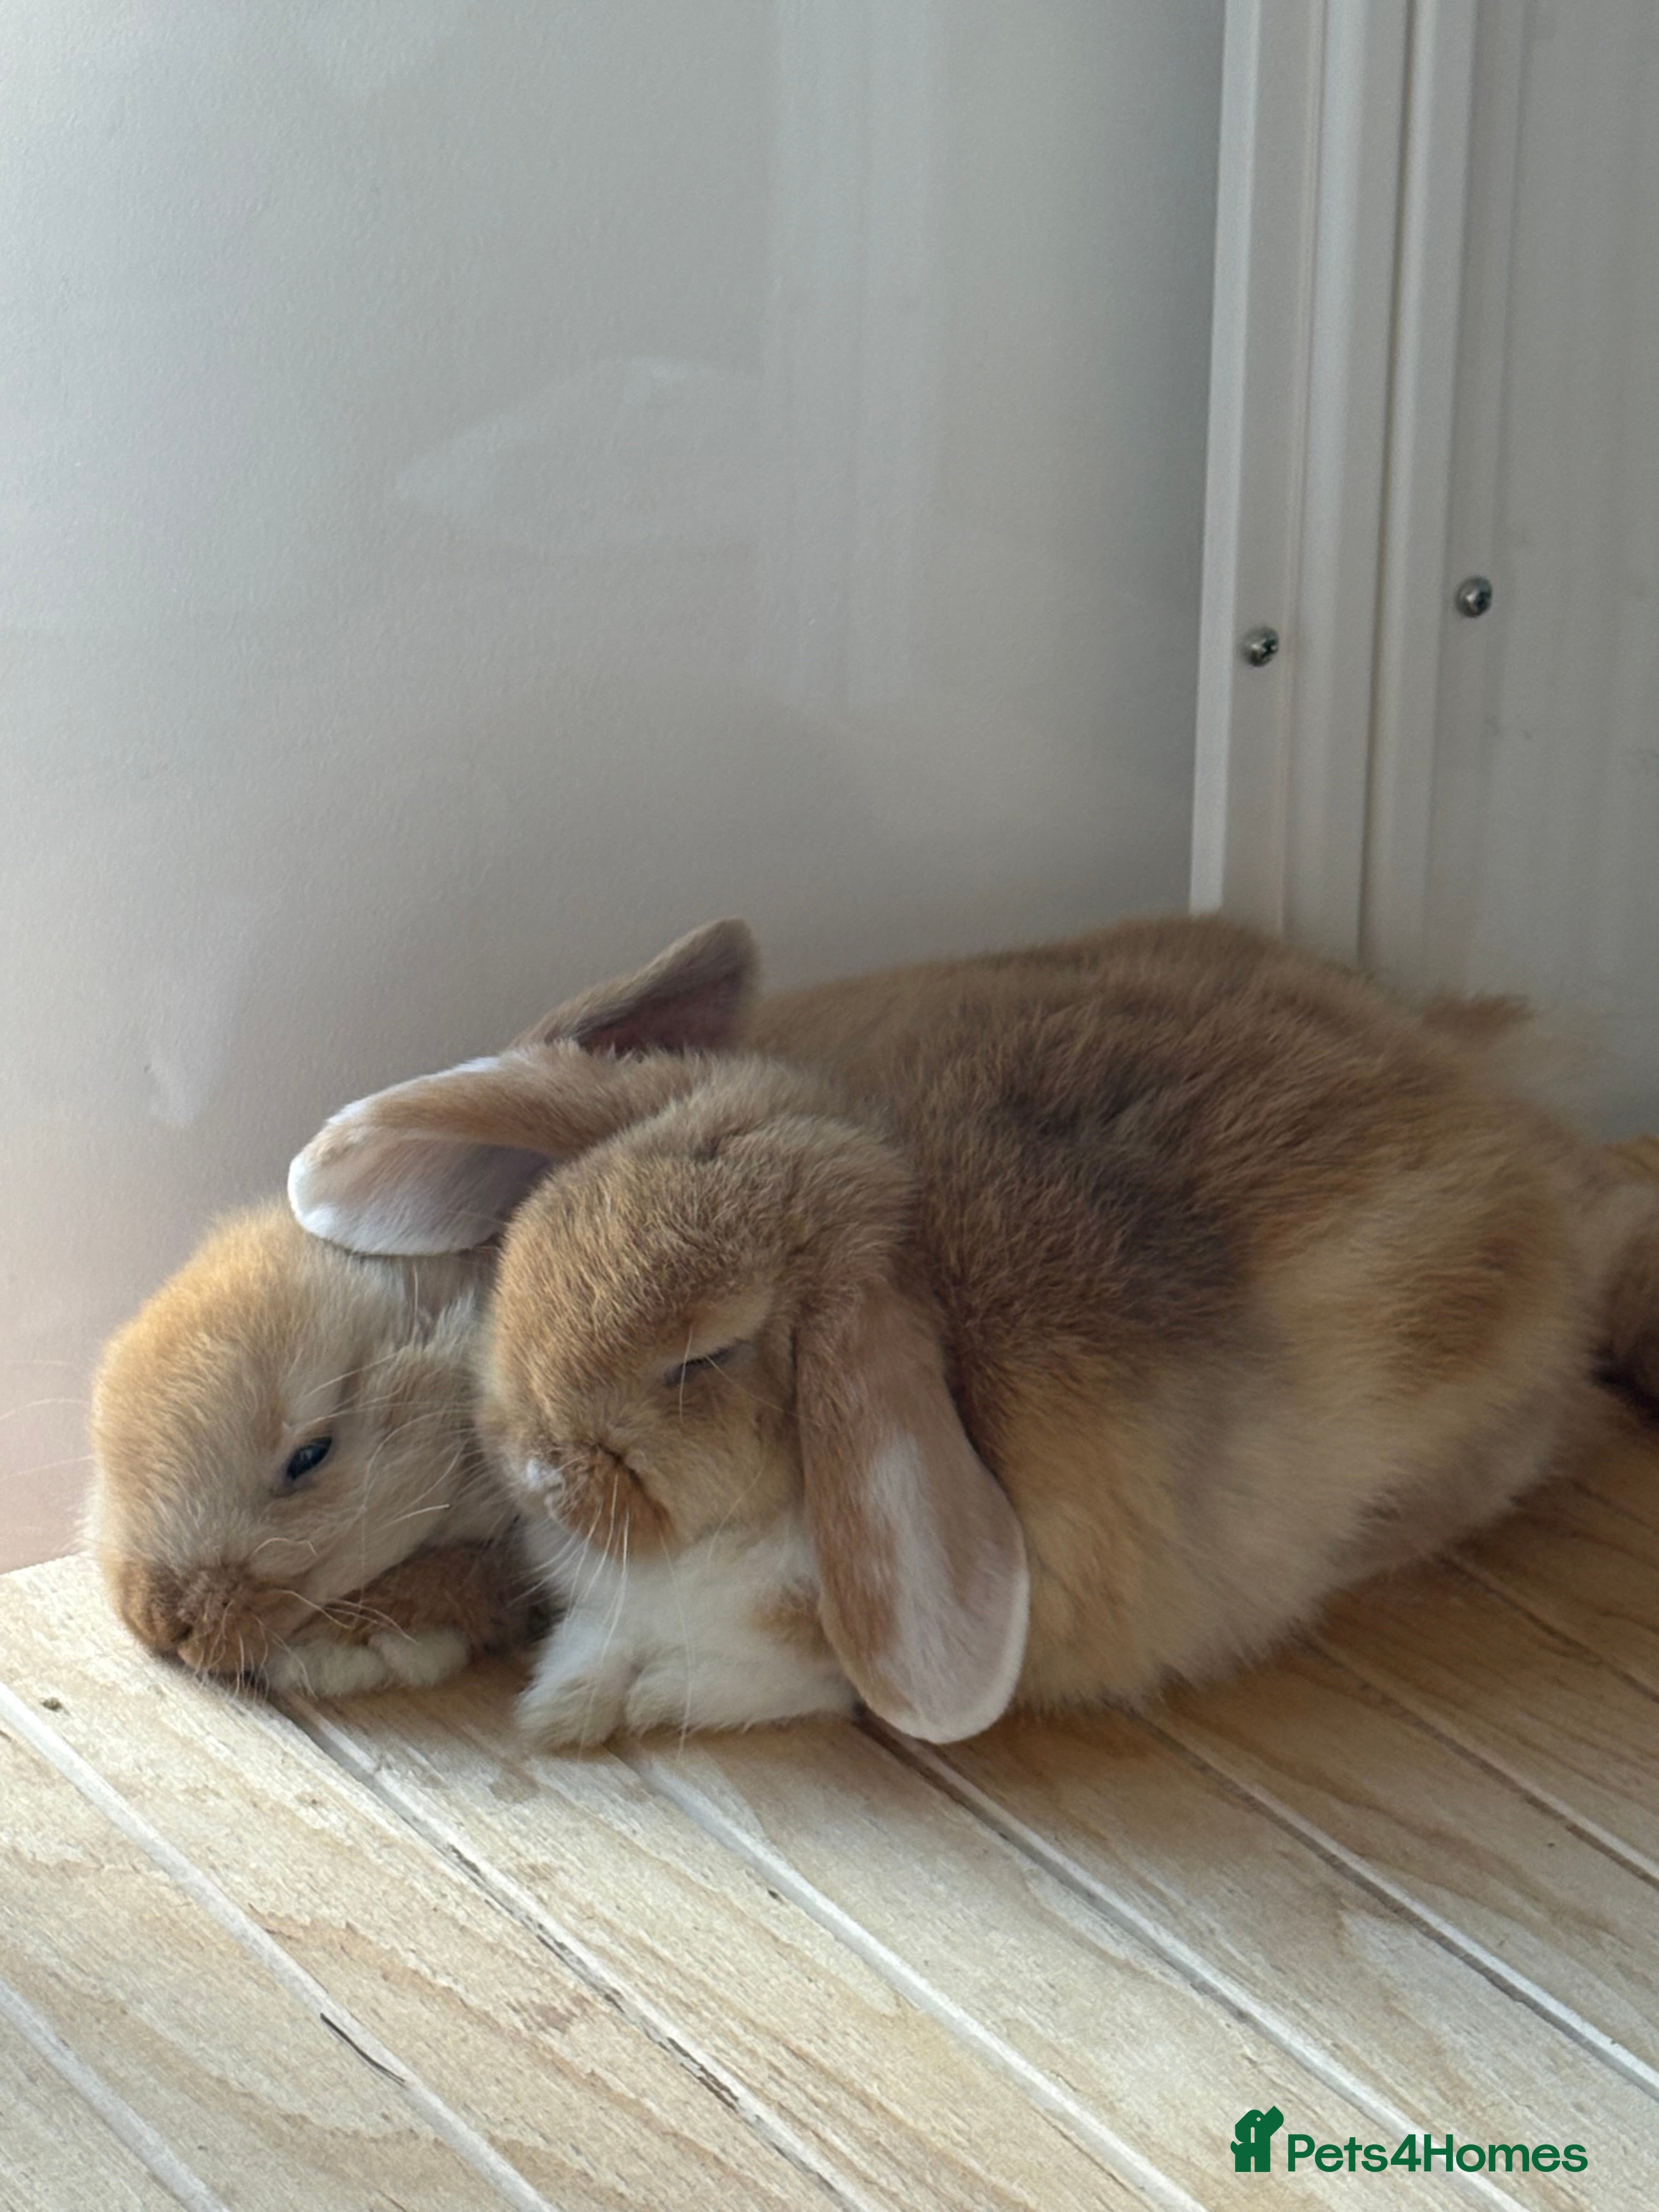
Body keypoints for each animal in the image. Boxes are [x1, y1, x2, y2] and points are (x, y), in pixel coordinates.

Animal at [287, 912, 1659, 1745]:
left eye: (704, 1357)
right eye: (531, 1248)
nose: (531, 1466)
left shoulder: (818, 1648)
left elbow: (734, 1673)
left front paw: (581, 1704)